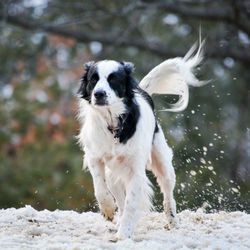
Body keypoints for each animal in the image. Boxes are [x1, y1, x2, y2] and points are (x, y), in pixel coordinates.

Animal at [76, 42, 205, 240]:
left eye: (114, 79)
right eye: (93, 79)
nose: (98, 94)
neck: (114, 125)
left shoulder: (136, 172)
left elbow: (131, 205)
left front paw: (123, 235)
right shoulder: (94, 157)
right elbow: (100, 187)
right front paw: (108, 210)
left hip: (164, 166)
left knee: (168, 197)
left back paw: (173, 223)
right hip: (114, 176)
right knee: (119, 199)